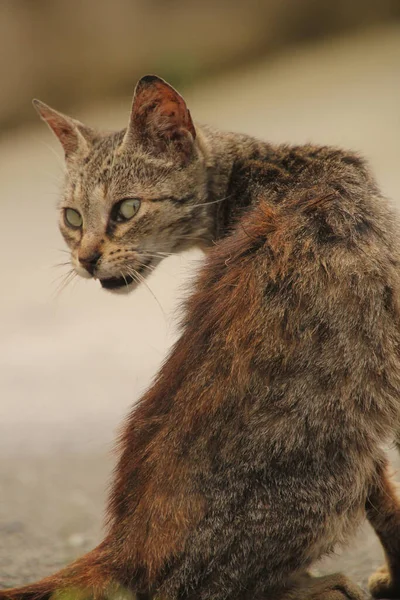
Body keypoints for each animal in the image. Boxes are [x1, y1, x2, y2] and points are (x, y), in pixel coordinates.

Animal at [0, 75, 400, 600]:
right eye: (72, 218)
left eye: (127, 208)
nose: (84, 259)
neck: (262, 168)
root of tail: (124, 544)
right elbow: (390, 502)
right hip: (337, 469)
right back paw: (321, 584)